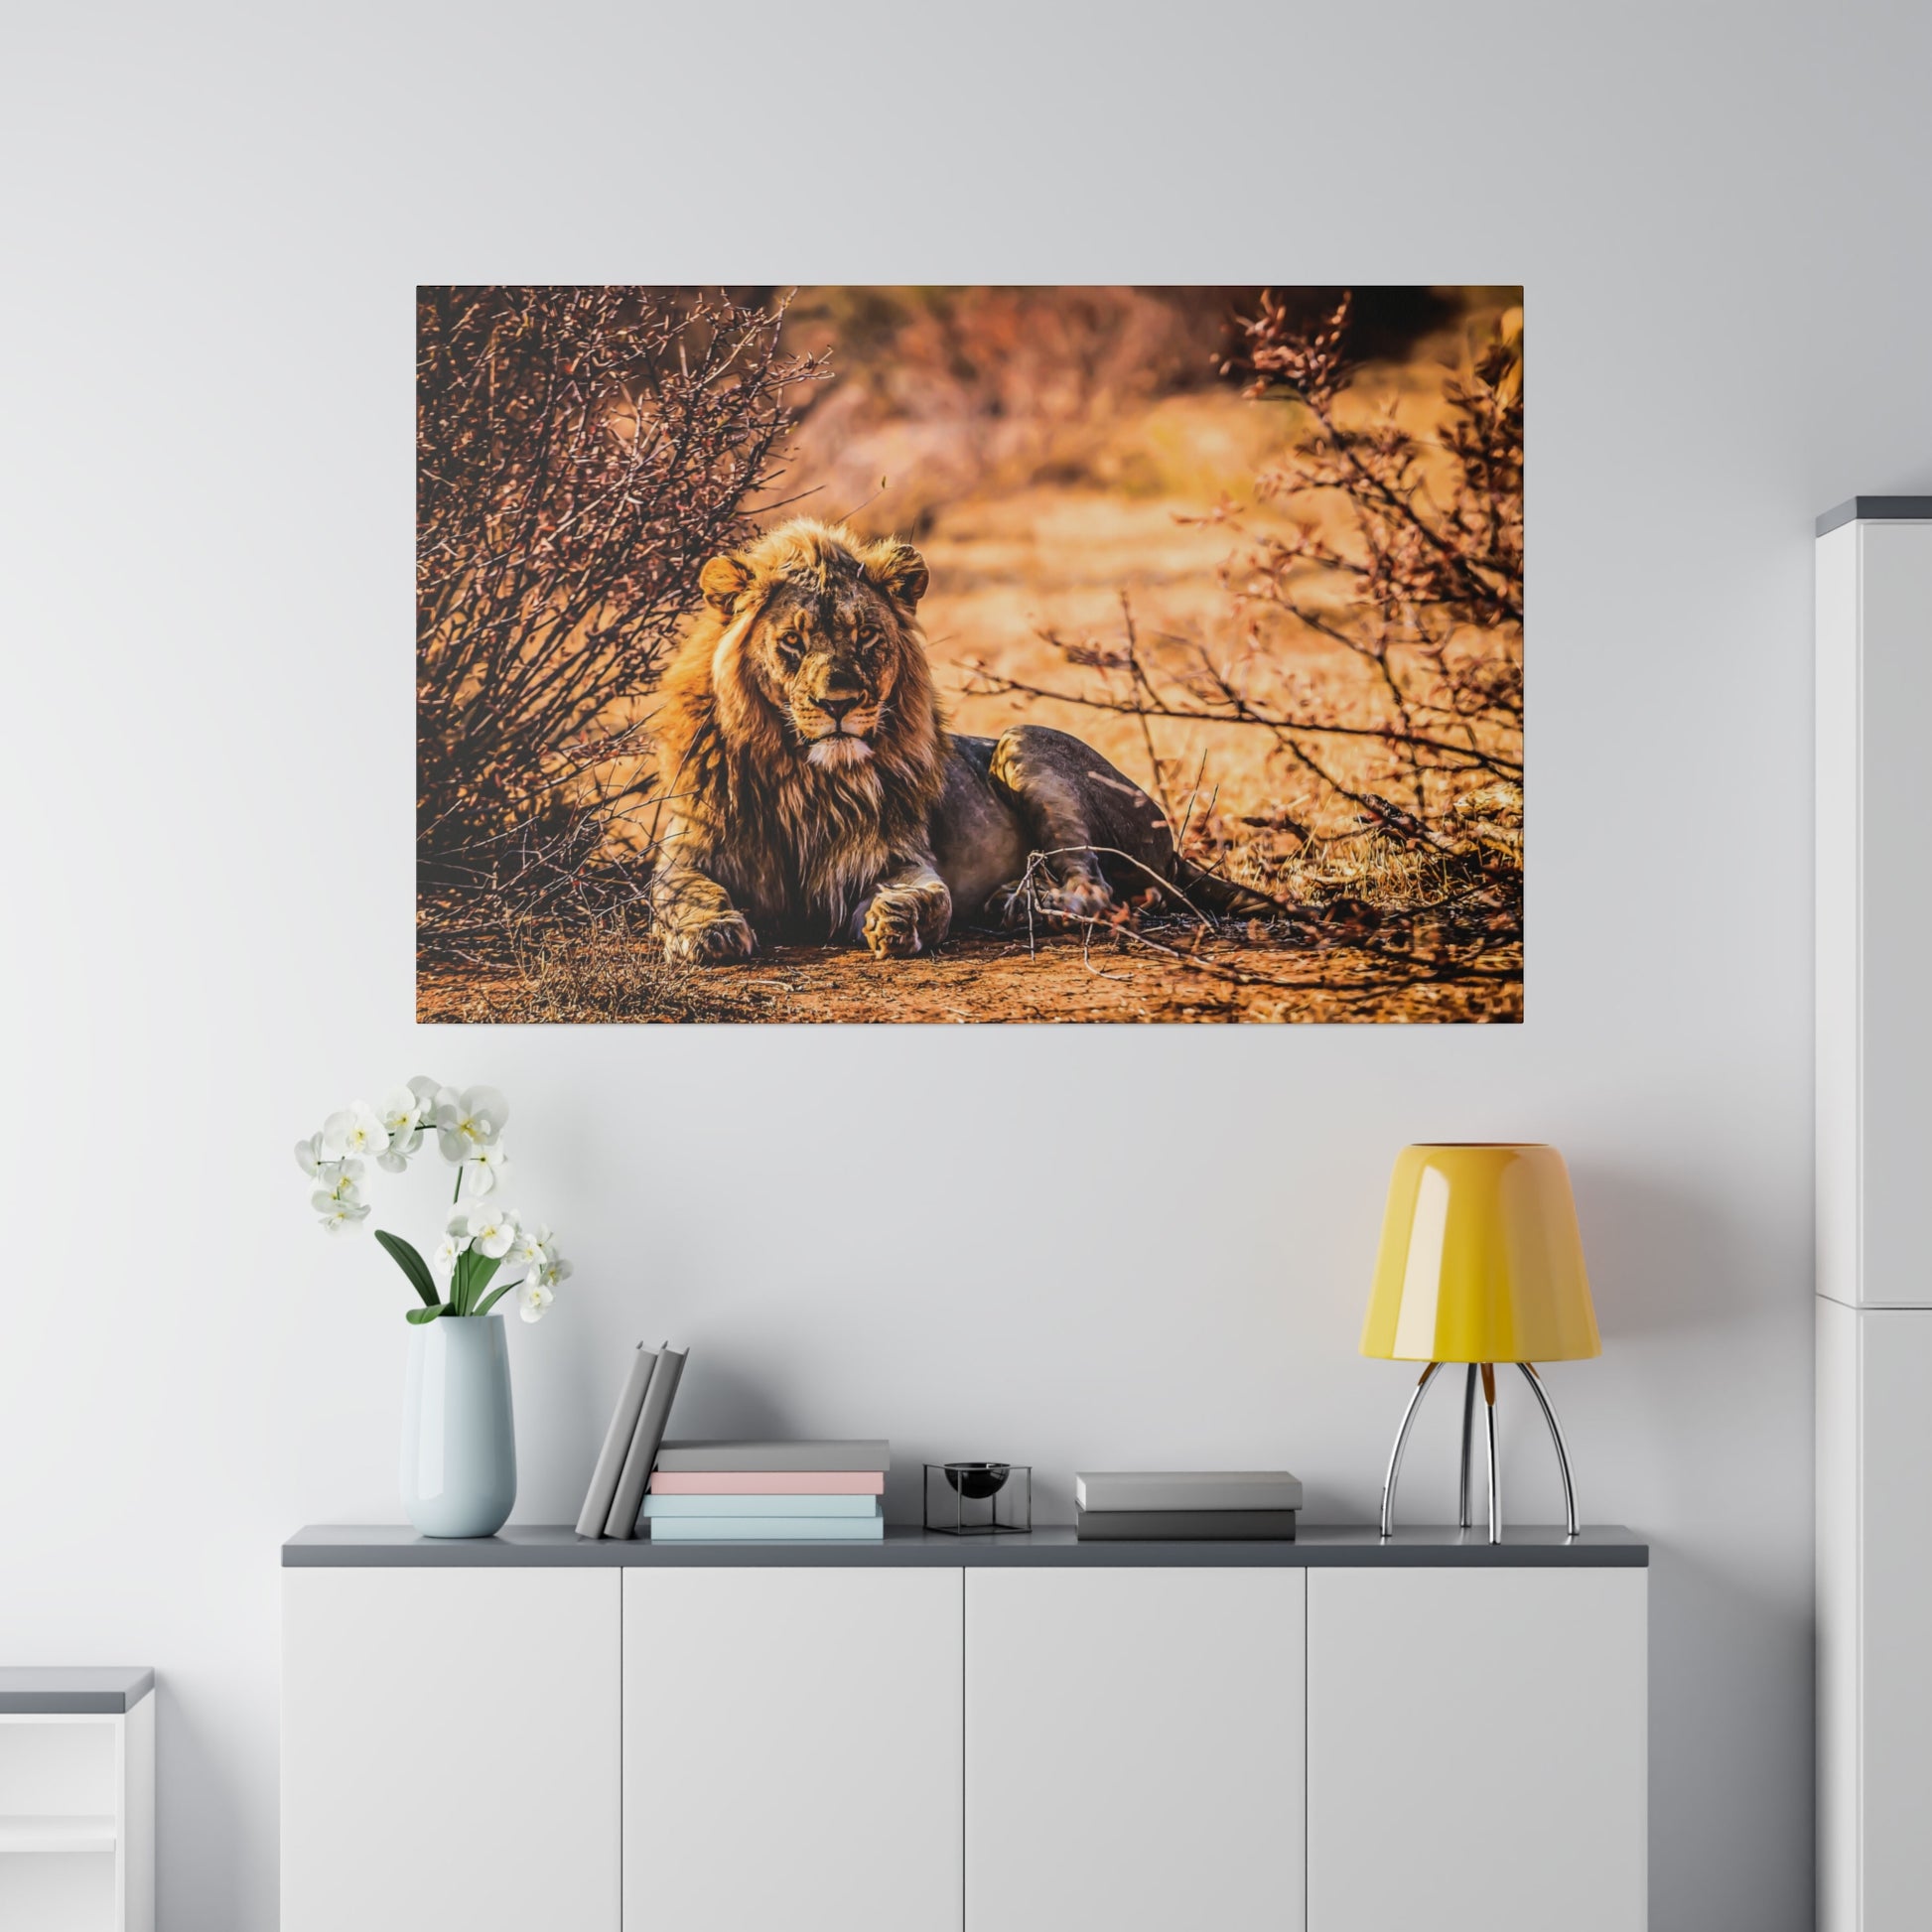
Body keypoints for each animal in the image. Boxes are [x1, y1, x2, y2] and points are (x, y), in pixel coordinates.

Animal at [656, 517, 1205, 962]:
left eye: (866, 636)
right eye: (793, 640)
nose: (839, 703)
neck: (805, 777)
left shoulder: (897, 857)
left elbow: (933, 897)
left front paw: (897, 919)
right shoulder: (685, 854)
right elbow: (684, 894)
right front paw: (710, 932)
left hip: (1022, 742)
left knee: (1095, 890)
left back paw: (1021, 905)